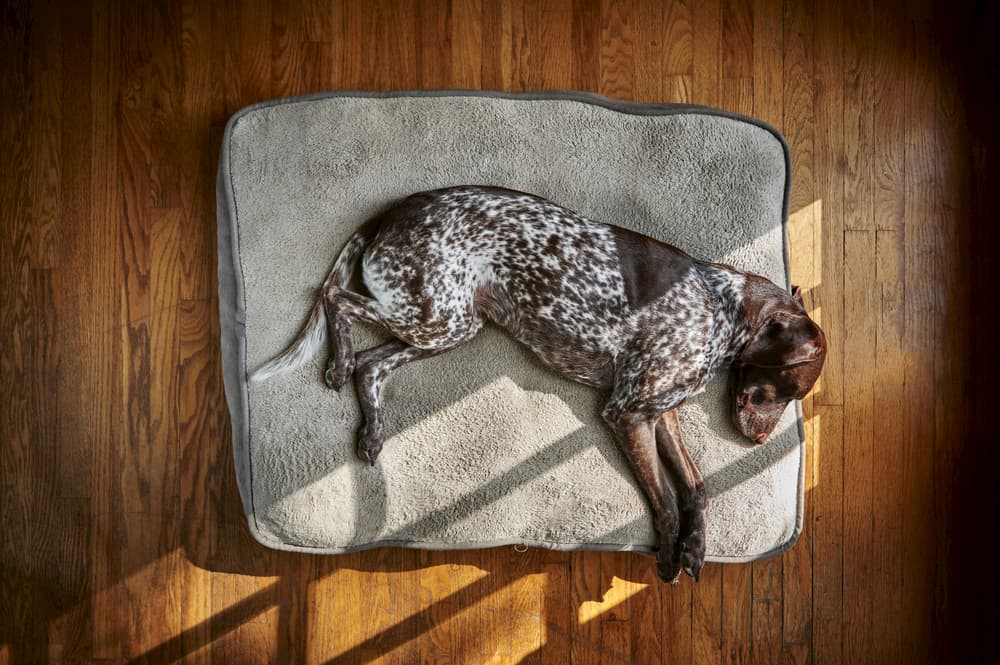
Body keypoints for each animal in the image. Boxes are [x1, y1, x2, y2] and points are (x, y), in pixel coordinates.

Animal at [252, 183, 828, 580]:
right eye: (786, 390)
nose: (759, 442)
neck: (718, 308)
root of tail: (393, 211)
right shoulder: (628, 414)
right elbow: (666, 500)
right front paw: (668, 556)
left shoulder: (659, 414)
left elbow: (697, 487)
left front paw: (696, 549)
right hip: (434, 316)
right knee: (335, 300)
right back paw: (336, 362)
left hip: (447, 325)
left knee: (371, 365)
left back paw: (371, 432)